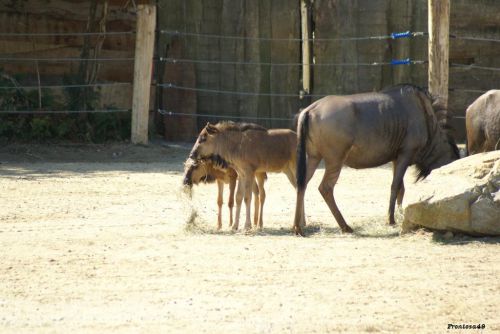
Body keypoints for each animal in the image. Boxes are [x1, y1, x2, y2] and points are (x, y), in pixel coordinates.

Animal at [292, 83, 460, 236]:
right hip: (335, 160)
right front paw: (391, 219)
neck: (427, 120)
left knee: (301, 183)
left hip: (314, 157)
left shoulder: (396, 158)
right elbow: (395, 186)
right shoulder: (406, 154)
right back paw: (345, 226)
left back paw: (297, 227)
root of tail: (310, 110)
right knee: (325, 188)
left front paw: (400, 214)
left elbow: (401, 188)